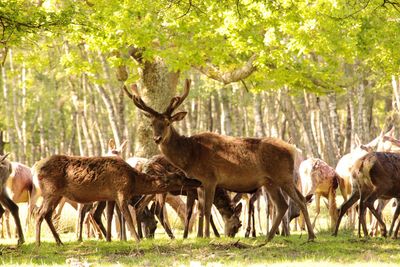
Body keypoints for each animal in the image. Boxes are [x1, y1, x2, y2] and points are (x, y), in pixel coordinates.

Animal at [31, 155, 200, 247]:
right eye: (180, 177)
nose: (197, 181)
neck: (133, 181)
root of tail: (35, 168)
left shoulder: (110, 196)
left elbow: (110, 216)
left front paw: (110, 239)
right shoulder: (120, 192)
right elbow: (128, 218)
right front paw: (137, 239)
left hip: (57, 195)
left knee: (47, 214)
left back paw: (59, 242)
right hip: (50, 192)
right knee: (39, 213)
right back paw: (38, 243)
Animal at [123, 79, 318, 243]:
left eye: (167, 123)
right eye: (152, 124)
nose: (157, 138)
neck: (190, 155)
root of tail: (292, 150)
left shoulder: (210, 178)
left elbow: (208, 208)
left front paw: (208, 237)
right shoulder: (199, 183)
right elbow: (202, 210)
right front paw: (202, 236)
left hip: (283, 176)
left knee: (300, 201)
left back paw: (310, 236)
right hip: (270, 181)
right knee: (284, 204)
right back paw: (269, 237)